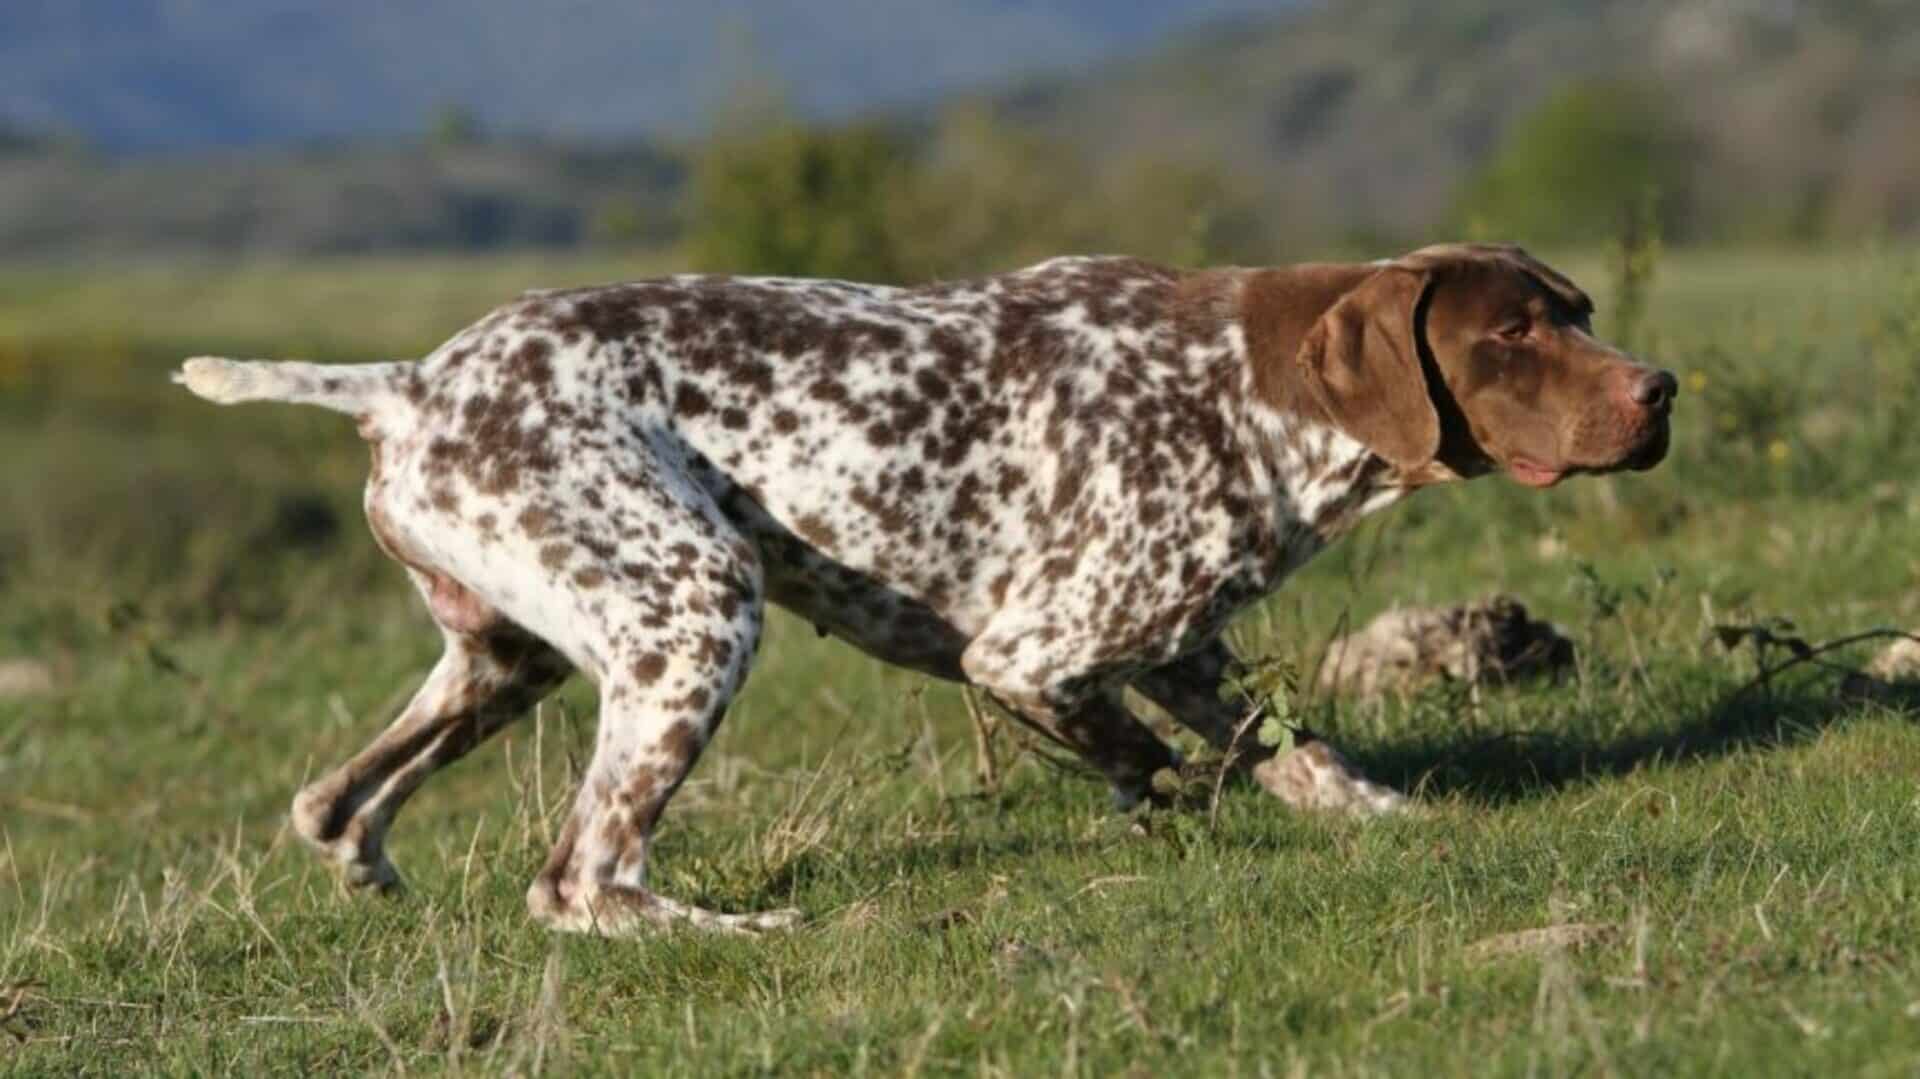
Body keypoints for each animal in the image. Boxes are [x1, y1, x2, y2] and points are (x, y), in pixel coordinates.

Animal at [183, 243, 1681, 933]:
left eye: (1584, 309)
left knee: (333, 800)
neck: (1251, 391)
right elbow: (1155, 763)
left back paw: (369, 865)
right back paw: (747, 927)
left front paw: (1373, 808)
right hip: (696, 608)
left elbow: (1283, 741)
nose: (1660, 388)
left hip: (511, 657)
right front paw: (1173, 813)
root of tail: (407, 384)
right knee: (583, 876)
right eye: (1512, 331)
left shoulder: (1179, 640)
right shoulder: (1032, 653)